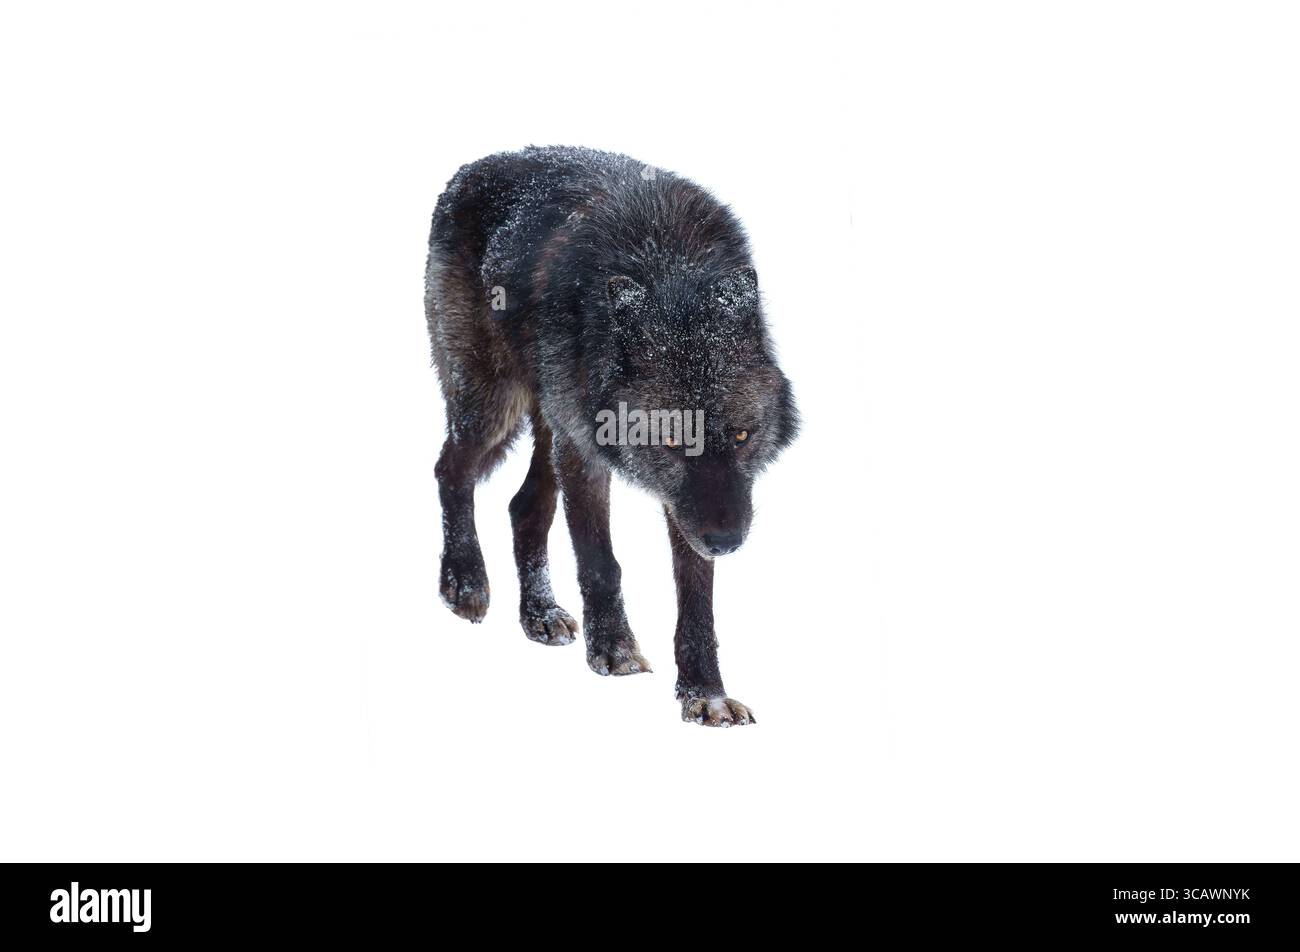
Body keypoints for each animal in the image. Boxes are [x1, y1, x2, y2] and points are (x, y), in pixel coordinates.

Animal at [425, 146, 798, 726]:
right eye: (672, 443)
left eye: (741, 436)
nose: (727, 542)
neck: (668, 265)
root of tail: (470, 169)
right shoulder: (587, 452)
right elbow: (601, 562)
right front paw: (614, 651)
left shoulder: (689, 505)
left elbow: (697, 601)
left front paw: (705, 695)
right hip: (495, 406)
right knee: (450, 469)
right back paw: (464, 580)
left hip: (546, 423)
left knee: (524, 506)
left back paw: (539, 614)